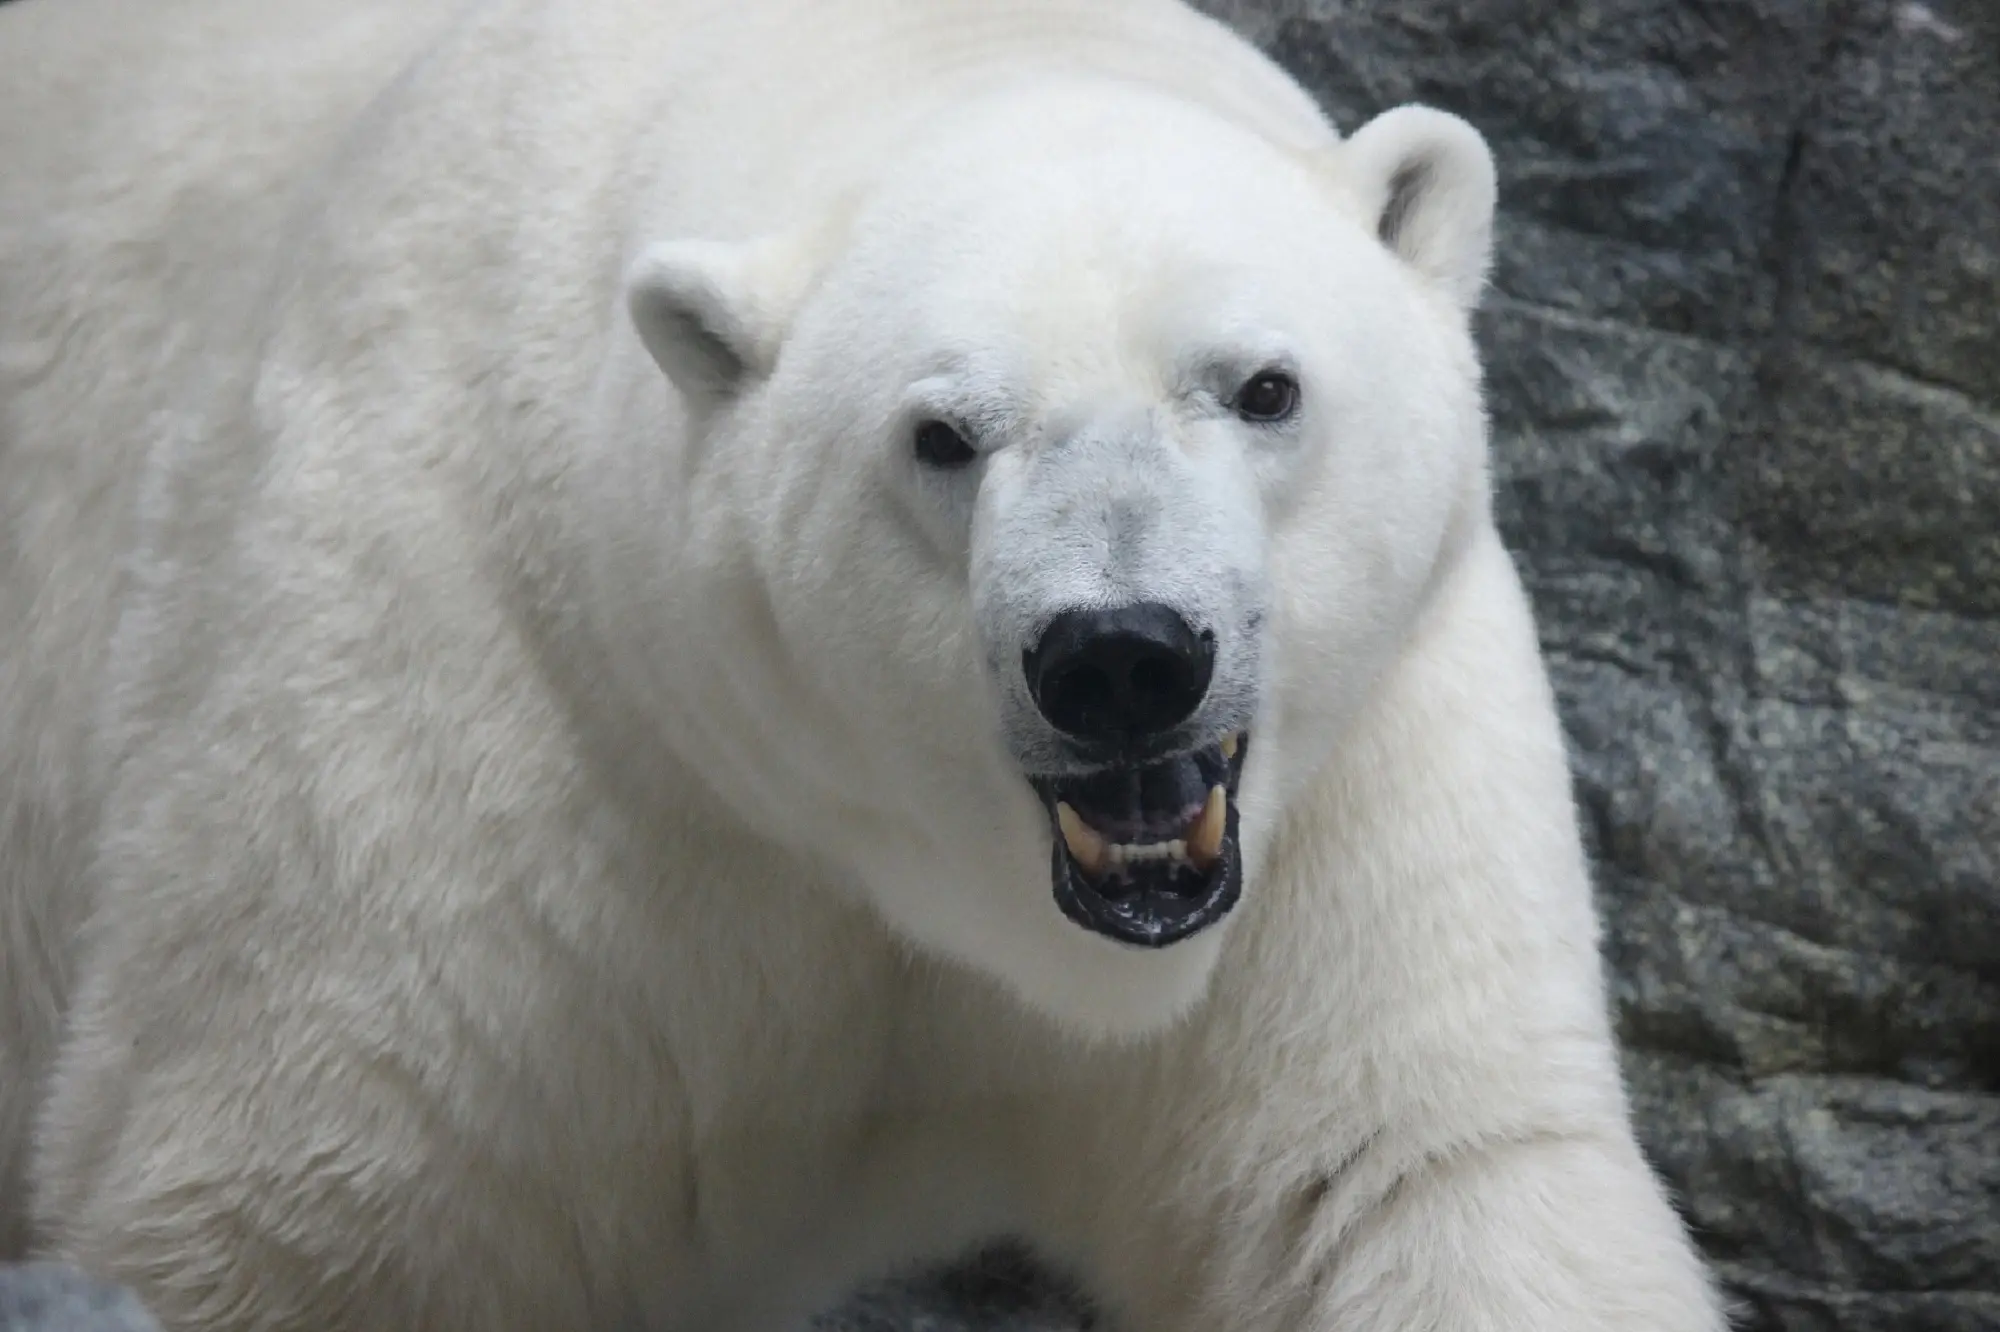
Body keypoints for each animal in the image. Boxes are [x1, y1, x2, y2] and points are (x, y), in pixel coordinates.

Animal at [0, 0, 1720, 1320]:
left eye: (1263, 386)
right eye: (942, 435)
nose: (1120, 657)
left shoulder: (1366, 769)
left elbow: (1409, 1179)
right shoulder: (488, 758)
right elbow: (298, 1211)